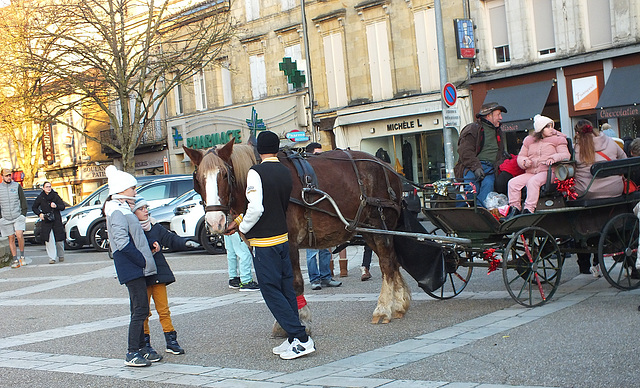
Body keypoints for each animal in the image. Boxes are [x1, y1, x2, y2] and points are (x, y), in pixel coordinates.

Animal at [181, 141, 410, 326]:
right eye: (198, 179)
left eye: (225, 175)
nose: (215, 222)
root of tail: (387, 168)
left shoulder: (288, 243)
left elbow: (294, 283)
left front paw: (298, 320)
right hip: (368, 230)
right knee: (392, 261)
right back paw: (399, 304)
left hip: (379, 225)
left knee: (387, 264)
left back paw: (383, 309)